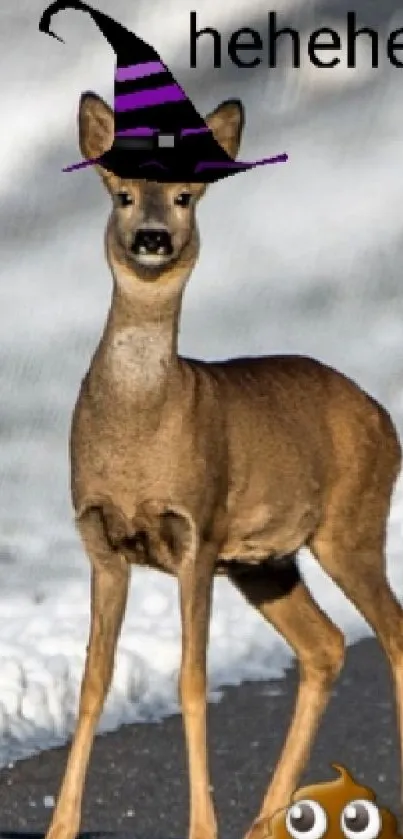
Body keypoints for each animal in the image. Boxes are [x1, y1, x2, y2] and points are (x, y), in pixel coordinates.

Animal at [43, 93, 403, 839]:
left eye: (184, 196)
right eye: (122, 194)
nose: (153, 236)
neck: (138, 431)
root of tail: (381, 413)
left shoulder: (198, 535)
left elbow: (192, 679)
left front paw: (199, 826)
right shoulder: (100, 542)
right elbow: (94, 680)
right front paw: (60, 826)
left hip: (351, 524)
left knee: (393, 633)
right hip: (265, 561)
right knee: (326, 644)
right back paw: (266, 818)